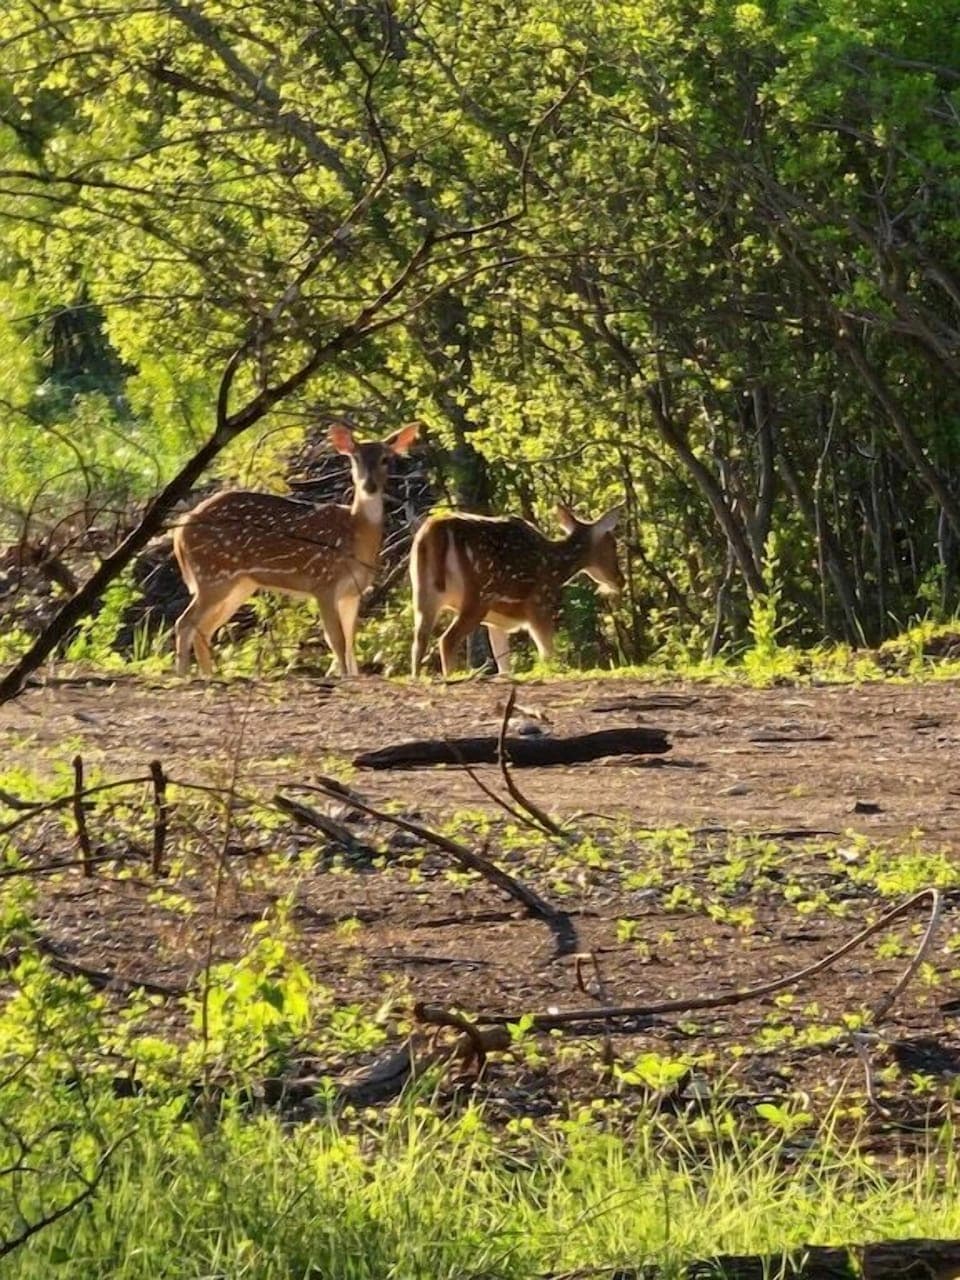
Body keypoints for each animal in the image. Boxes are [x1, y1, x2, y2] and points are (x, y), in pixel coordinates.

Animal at [172, 421, 419, 678]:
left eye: (385, 459)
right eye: (355, 458)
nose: (369, 485)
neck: (355, 536)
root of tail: (179, 533)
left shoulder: (353, 591)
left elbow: (351, 641)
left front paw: (353, 675)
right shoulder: (324, 583)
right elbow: (337, 640)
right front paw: (341, 676)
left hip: (238, 584)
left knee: (203, 628)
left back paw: (207, 675)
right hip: (212, 576)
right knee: (184, 622)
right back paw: (182, 675)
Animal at [410, 503, 624, 677]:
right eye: (612, 544)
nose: (620, 580)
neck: (555, 567)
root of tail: (434, 528)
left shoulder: (496, 620)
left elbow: (504, 665)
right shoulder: (539, 602)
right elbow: (548, 653)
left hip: (422, 592)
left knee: (419, 641)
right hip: (478, 594)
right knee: (447, 640)